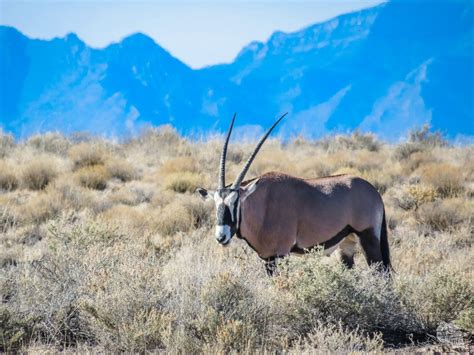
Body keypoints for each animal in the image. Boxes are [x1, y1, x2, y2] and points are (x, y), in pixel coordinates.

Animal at [196, 114, 392, 276]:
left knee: (382, 274)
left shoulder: (280, 255)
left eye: (235, 202)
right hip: (346, 245)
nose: (221, 237)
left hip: (368, 238)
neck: (263, 205)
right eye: (216, 204)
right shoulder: (267, 258)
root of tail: (374, 192)